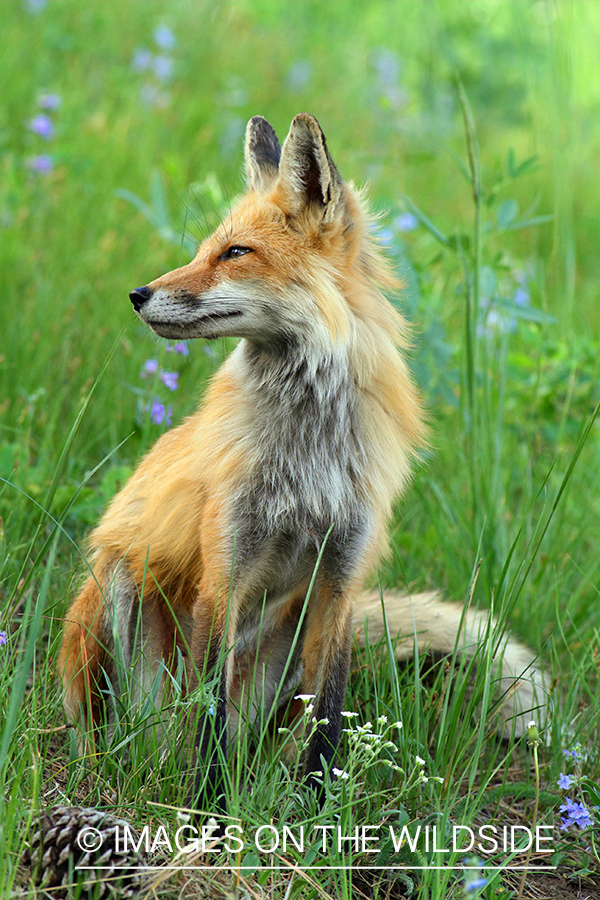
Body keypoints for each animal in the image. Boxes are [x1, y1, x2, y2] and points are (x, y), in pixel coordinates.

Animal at [59, 112, 544, 816]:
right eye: (204, 249)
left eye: (234, 253)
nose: (137, 294)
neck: (306, 458)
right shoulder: (225, 575)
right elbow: (210, 716)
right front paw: (208, 811)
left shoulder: (341, 582)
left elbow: (329, 724)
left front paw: (316, 817)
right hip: (119, 583)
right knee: (147, 732)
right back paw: (133, 766)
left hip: (283, 646)